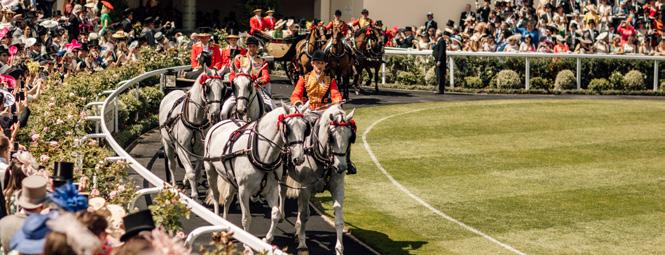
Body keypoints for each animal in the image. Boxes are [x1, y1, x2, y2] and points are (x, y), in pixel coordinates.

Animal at [158, 67, 226, 197]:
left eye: (222, 88)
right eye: (207, 88)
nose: (215, 114)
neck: (195, 122)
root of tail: (172, 92)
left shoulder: (200, 151)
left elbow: (197, 171)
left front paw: (194, 189)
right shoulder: (181, 149)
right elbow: (191, 172)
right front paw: (194, 195)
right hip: (167, 142)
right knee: (171, 164)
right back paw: (174, 184)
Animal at [204, 102, 310, 244]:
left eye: (305, 128)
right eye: (288, 128)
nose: (299, 158)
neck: (261, 155)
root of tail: (219, 124)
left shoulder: (271, 189)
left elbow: (275, 214)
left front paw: (268, 239)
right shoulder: (244, 191)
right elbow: (246, 218)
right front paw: (247, 244)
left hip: (231, 178)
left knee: (227, 199)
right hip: (210, 170)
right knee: (216, 195)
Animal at [282, 104, 356, 255]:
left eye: (350, 137)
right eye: (331, 137)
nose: (341, 167)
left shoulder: (337, 187)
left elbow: (339, 218)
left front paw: (339, 248)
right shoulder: (305, 188)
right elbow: (305, 215)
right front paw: (303, 245)